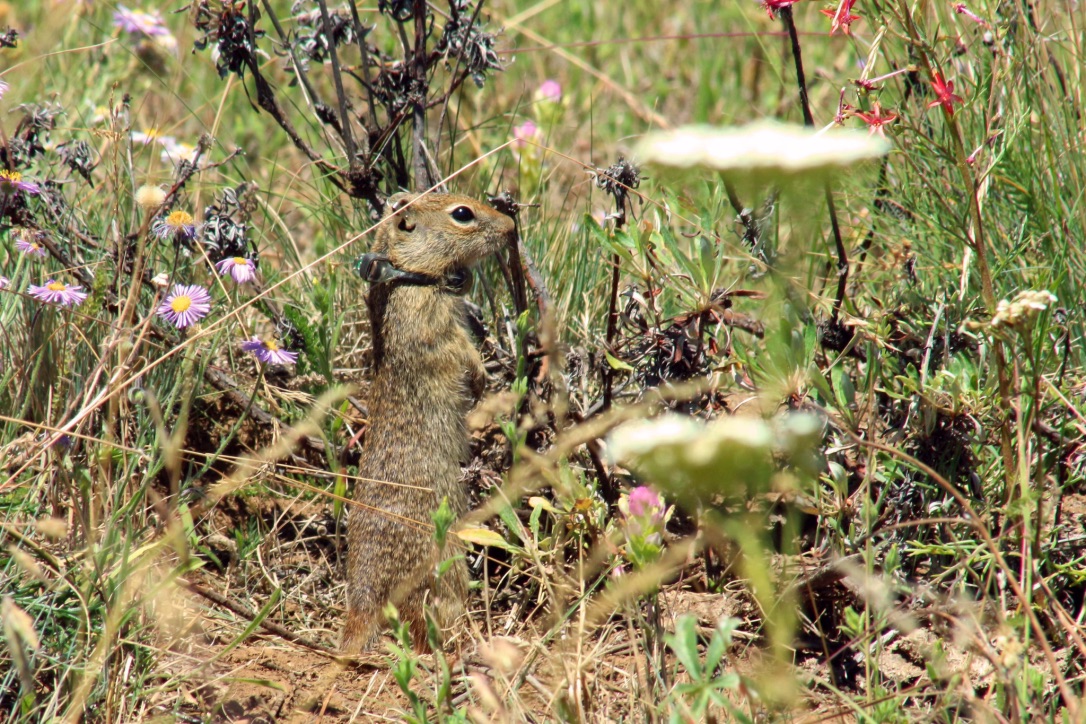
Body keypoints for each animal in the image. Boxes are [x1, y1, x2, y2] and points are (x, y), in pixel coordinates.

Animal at [345, 191, 519, 651]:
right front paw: (480, 379)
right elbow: (460, 352)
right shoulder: (435, 328)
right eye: (462, 214)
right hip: (446, 567)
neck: (411, 277)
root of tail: (361, 602)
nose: (511, 228)